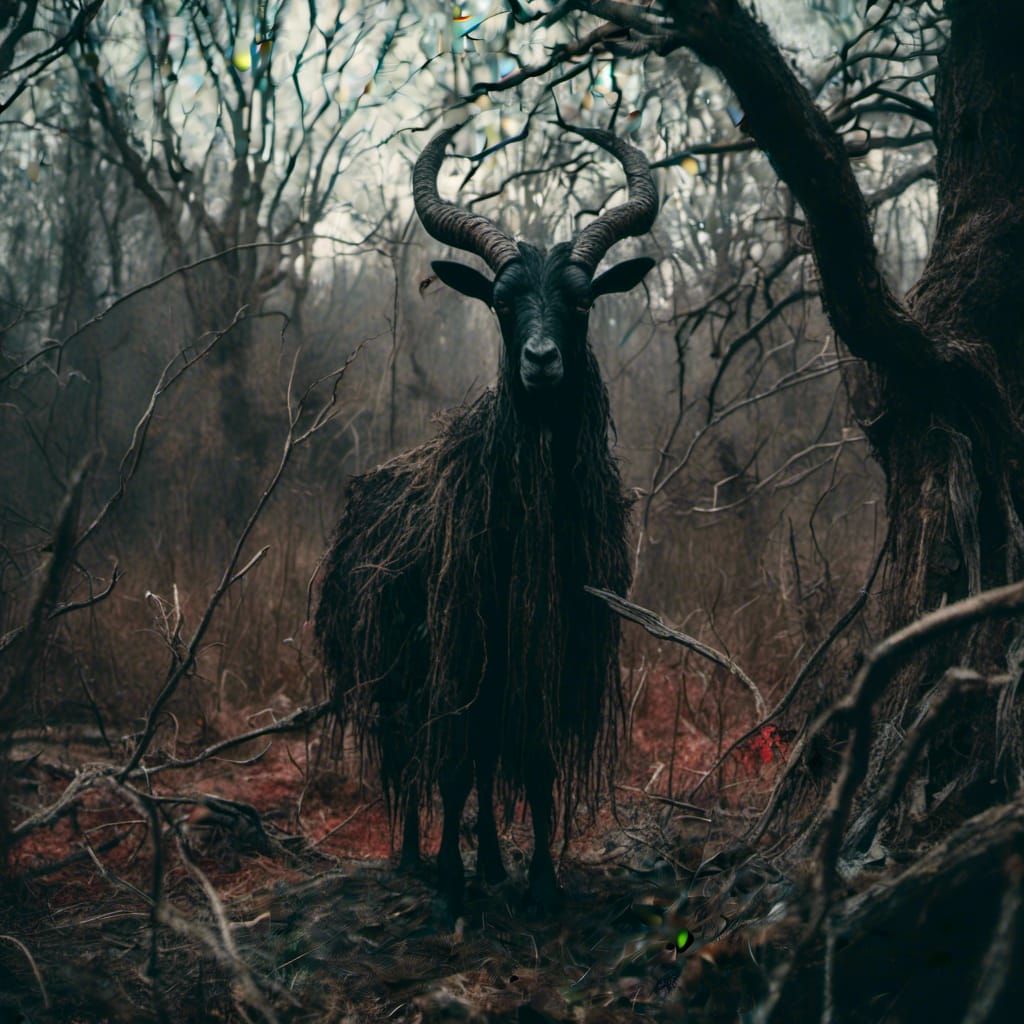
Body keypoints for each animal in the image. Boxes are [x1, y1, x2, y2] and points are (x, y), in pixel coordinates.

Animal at [315, 122, 659, 916]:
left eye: (582, 302)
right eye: (501, 304)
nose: (541, 360)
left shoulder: (546, 658)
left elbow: (533, 766)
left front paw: (538, 881)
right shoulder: (462, 651)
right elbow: (454, 764)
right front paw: (452, 876)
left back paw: (491, 864)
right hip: (396, 680)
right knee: (415, 761)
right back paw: (417, 857)